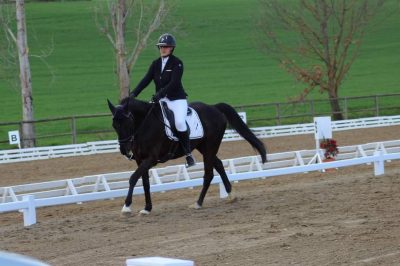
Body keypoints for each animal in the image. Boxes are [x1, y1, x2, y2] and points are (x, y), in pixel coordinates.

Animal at [108, 96, 268, 215]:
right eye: (114, 125)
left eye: (127, 122)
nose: (124, 149)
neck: (145, 125)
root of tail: (214, 107)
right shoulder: (141, 160)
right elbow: (145, 183)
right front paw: (147, 208)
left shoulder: (151, 159)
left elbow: (133, 178)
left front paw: (126, 207)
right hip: (204, 147)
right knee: (219, 165)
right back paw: (231, 195)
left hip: (210, 147)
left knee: (208, 174)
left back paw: (198, 203)